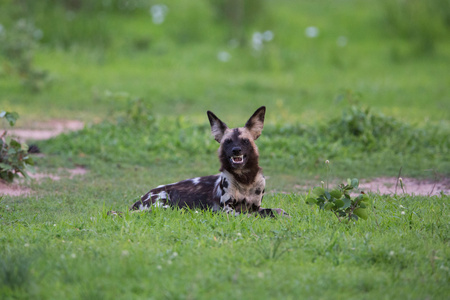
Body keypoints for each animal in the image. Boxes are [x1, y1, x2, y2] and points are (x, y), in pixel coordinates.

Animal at [130, 106, 288, 217]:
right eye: (228, 142)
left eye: (245, 141)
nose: (236, 150)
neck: (245, 179)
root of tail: (141, 199)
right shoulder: (228, 210)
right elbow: (250, 215)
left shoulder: (256, 206)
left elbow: (277, 210)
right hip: (166, 205)